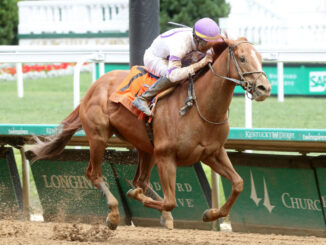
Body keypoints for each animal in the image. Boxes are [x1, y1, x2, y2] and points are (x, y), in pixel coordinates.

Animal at [29, 36, 270, 230]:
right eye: (242, 58)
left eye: (260, 57)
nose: (264, 88)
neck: (200, 107)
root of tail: (95, 85)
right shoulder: (166, 156)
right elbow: (170, 200)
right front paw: (134, 196)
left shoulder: (213, 153)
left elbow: (238, 183)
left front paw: (211, 214)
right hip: (99, 137)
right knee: (94, 173)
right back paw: (114, 214)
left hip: (146, 147)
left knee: (141, 180)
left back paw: (162, 215)